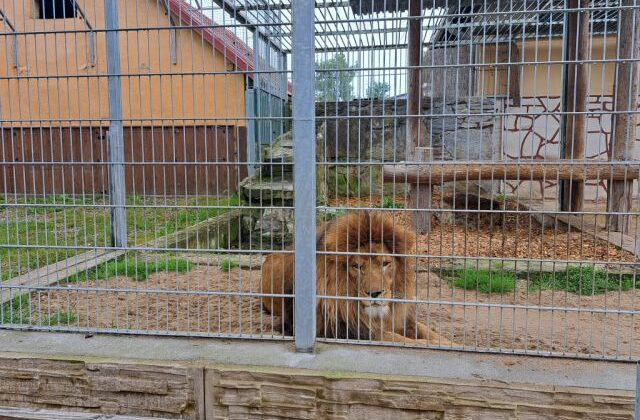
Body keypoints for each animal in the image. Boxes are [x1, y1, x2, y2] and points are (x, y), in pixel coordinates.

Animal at [262, 210, 456, 344]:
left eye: (385, 263)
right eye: (356, 266)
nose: (375, 294)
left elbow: (428, 331)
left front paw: (451, 344)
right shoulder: (341, 329)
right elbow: (402, 340)